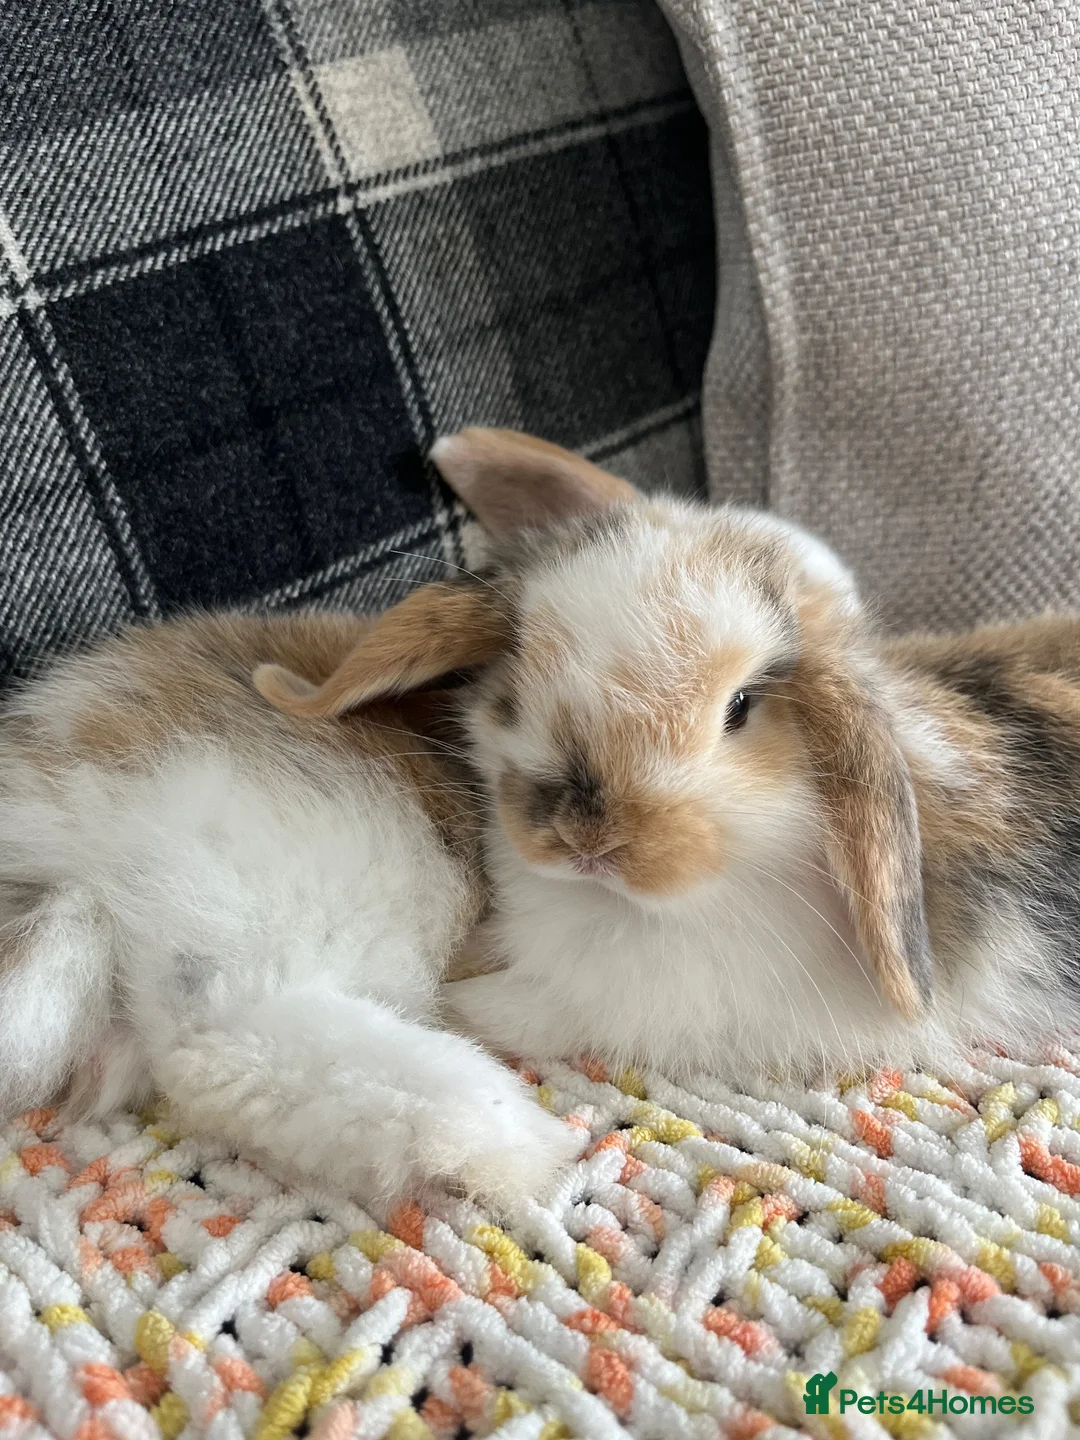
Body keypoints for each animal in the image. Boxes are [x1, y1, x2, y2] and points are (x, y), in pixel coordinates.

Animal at [258, 427, 1080, 1086]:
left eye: (742, 707)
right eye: (517, 682)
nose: (587, 840)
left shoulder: (607, 1006)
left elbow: (507, 1008)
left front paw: (453, 998)